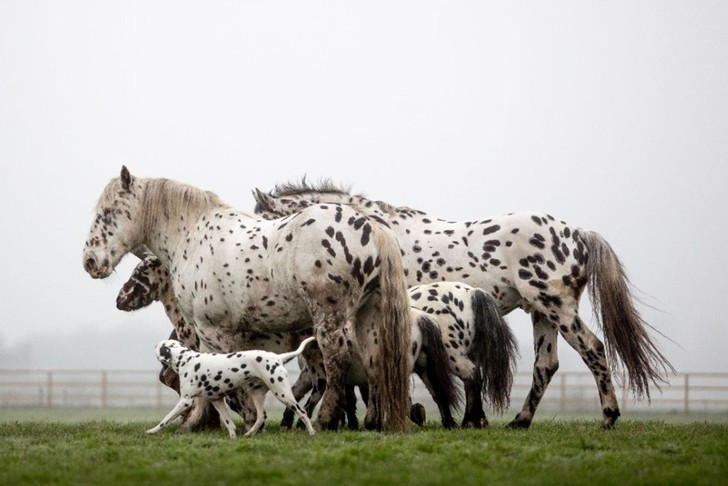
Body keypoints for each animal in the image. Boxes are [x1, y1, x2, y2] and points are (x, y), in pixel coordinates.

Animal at [146, 338, 318, 436]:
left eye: (159, 346)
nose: (153, 345)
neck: (186, 360)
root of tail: (278, 357)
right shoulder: (217, 400)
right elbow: (230, 423)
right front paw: (233, 438)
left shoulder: (185, 402)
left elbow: (166, 419)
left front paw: (152, 430)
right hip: (257, 395)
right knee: (260, 417)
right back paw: (249, 434)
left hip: (283, 394)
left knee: (302, 412)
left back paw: (312, 432)